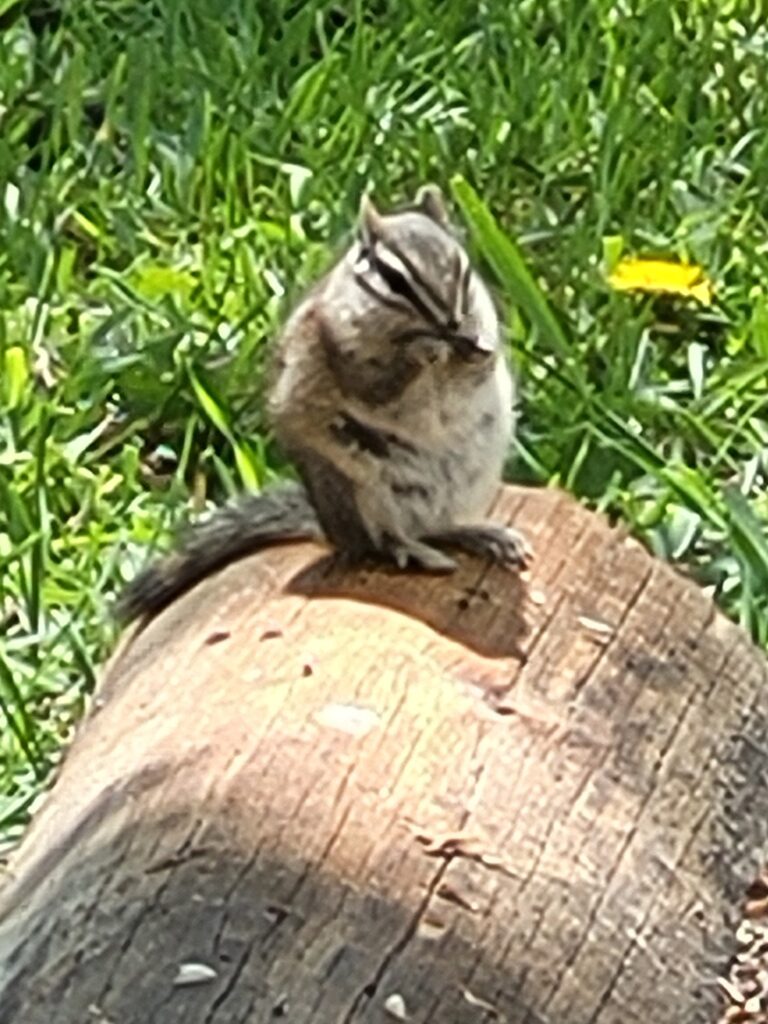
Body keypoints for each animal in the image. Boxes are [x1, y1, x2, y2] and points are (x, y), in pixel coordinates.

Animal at [116, 185, 530, 622]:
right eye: (394, 279)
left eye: (464, 270)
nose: (452, 324)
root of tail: (331, 531)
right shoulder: (345, 352)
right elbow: (378, 383)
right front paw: (423, 351)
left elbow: (480, 363)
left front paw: (474, 347)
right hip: (359, 492)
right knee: (382, 542)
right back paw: (412, 551)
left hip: (470, 481)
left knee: (437, 526)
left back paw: (483, 534)